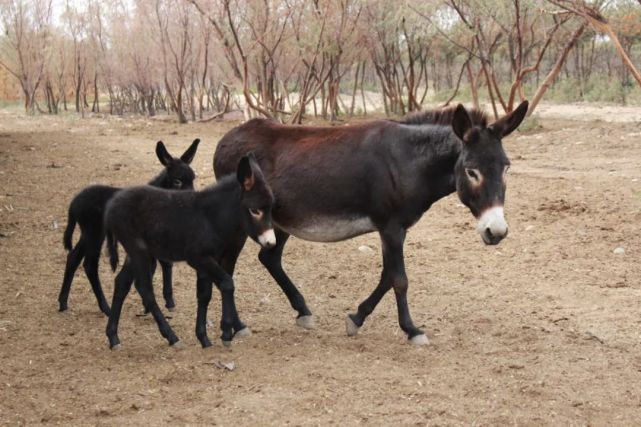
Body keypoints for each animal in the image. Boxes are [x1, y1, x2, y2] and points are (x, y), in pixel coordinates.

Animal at [57, 139, 199, 316]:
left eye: (193, 179)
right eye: (177, 181)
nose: (192, 200)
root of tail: (75, 202)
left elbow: (161, 265)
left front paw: (163, 302)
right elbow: (160, 265)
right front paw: (156, 304)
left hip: (88, 234)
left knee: (73, 257)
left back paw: (63, 302)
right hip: (95, 233)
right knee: (89, 265)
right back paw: (106, 307)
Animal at [105, 155, 276, 350]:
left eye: (271, 208)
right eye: (255, 210)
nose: (271, 243)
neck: (211, 217)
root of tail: (112, 206)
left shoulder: (208, 261)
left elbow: (204, 294)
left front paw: (203, 337)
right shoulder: (199, 258)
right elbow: (226, 283)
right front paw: (225, 333)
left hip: (135, 254)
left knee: (121, 283)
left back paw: (113, 337)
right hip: (138, 251)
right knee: (145, 289)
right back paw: (172, 337)